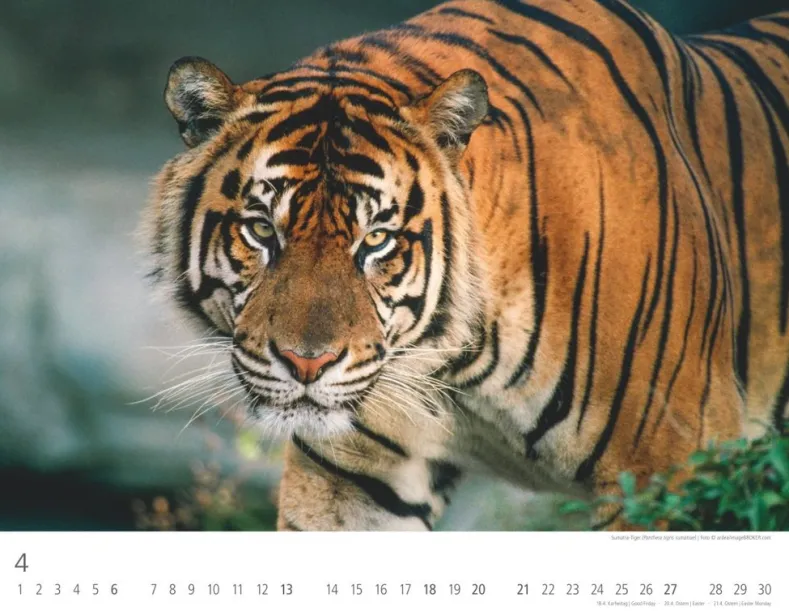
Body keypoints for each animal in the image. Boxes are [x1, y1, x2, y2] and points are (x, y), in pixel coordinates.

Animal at [140, 0, 789, 530]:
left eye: (376, 239)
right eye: (261, 230)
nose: (307, 365)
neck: (454, 363)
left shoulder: (669, 471)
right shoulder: (354, 481)